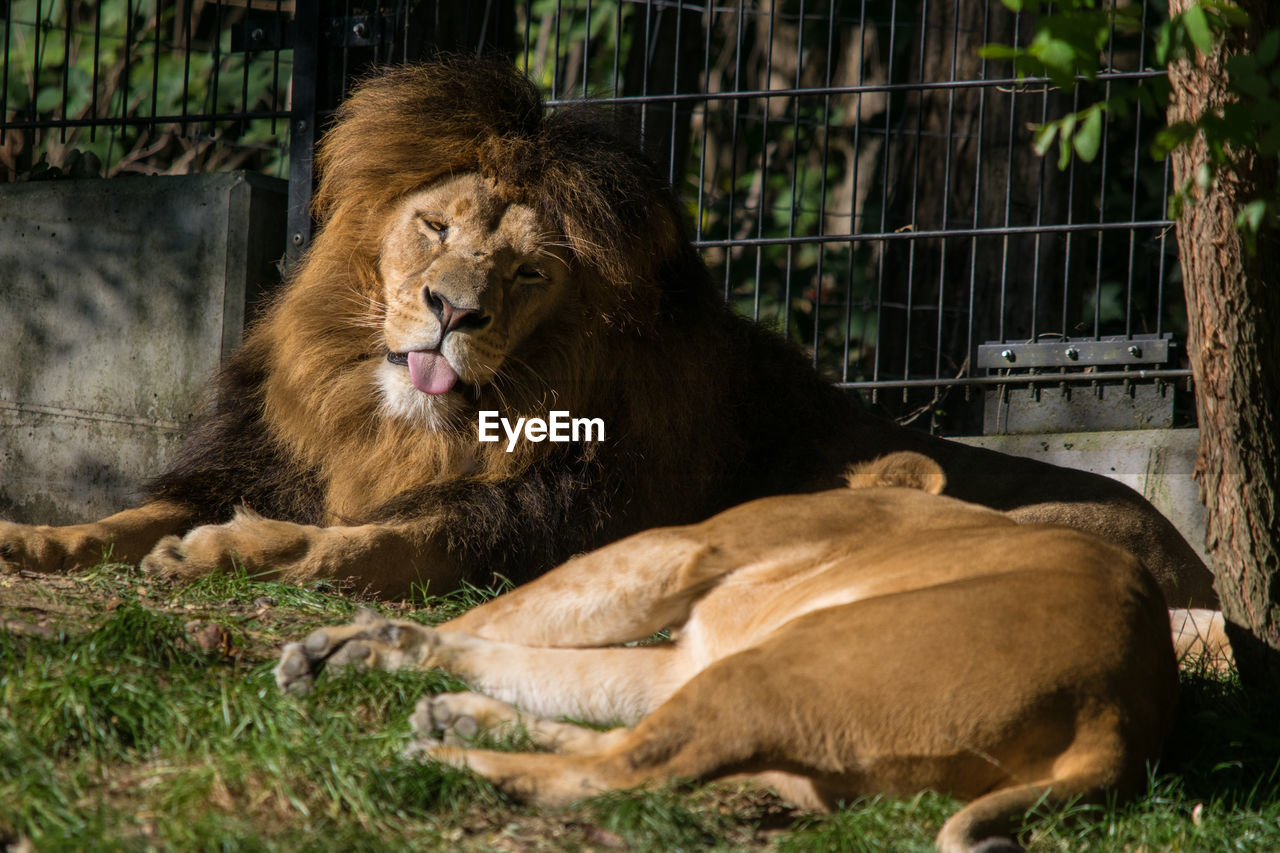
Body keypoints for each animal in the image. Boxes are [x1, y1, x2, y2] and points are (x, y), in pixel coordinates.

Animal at [0, 58, 1218, 612]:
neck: (393, 426)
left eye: (528, 272)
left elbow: (367, 542)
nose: (453, 308)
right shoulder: (261, 457)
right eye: (435, 225)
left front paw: (230, 550)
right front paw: (37, 538)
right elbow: (129, 512)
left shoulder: (533, 523)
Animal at [275, 450, 1172, 850]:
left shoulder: (687, 546)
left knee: (616, 773)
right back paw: (459, 720)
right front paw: (373, 647)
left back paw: (447, 758)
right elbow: (546, 658)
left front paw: (346, 640)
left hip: (789, 661)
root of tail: (1118, 712)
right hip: (800, 738)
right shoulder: (686, 650)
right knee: (638, 748)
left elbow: (516, 608)